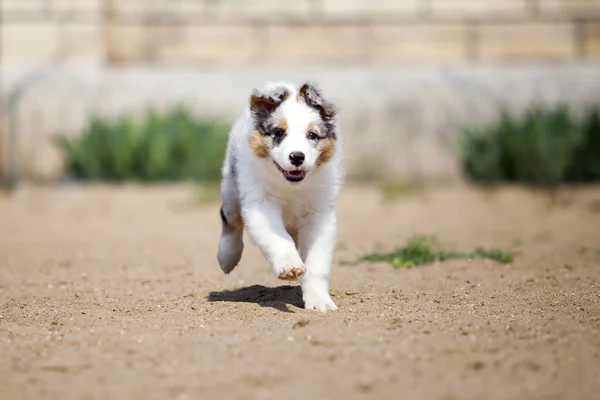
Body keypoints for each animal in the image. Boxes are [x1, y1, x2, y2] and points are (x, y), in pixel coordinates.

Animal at [218, 81, 344, 312]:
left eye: (312, 135)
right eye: (279, 132)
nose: (297, 157)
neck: (291, 186)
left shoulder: (319, 214)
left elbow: (317, 262)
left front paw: (319, 301)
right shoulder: (260, 205)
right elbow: (278, 238)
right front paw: (290, 266)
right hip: (232, 189)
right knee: (230, 221)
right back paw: (227, 258)